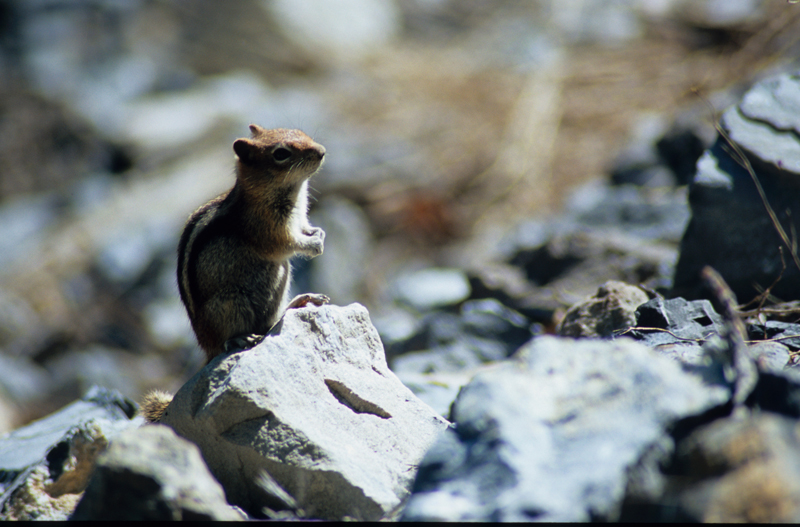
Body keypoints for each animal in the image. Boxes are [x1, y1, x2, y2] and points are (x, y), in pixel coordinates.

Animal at [141, 125, 330, 422]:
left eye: (302, 133)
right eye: (281, 154)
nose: (321, 151)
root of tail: (206, 347)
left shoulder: (299, 219)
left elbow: (305, 229)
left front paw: (318, 234)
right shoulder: (269, 230)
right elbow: (288, 244)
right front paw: (313, 246)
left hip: (280, 279)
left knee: (270, 324)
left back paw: (300, 301)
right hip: (231, 303)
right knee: (228, 342)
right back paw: (240, 338)